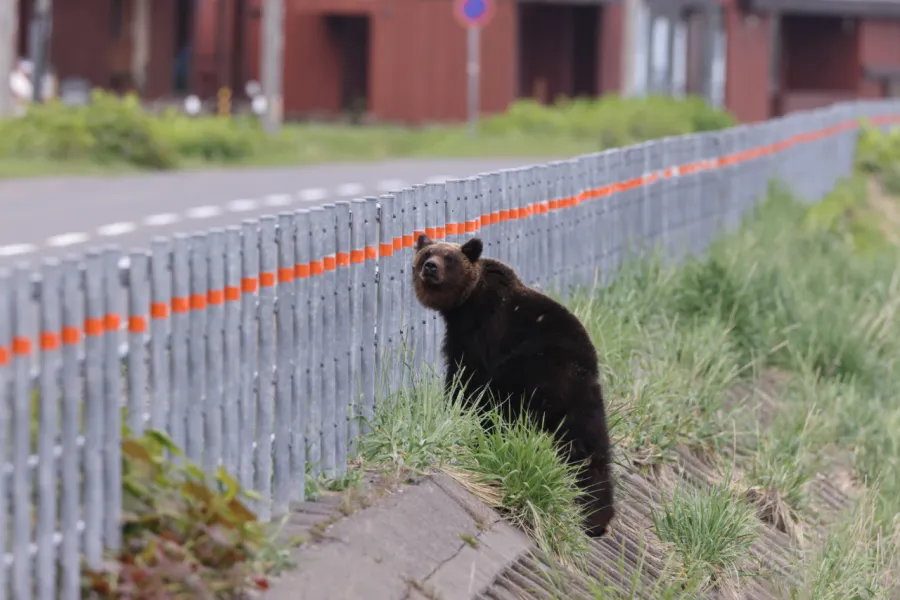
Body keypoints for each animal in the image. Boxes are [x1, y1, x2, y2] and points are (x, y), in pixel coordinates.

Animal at [412, 234, 615, 537]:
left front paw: (454, 407)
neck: (463, 303)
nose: (430, 267)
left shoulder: (480, 331)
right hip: (586, 403)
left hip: (529, 375)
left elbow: (465, 377)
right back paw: (595, 517)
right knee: (591, 450)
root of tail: (576, 375)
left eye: (449, 258)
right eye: (427, 253)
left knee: (503, 411)